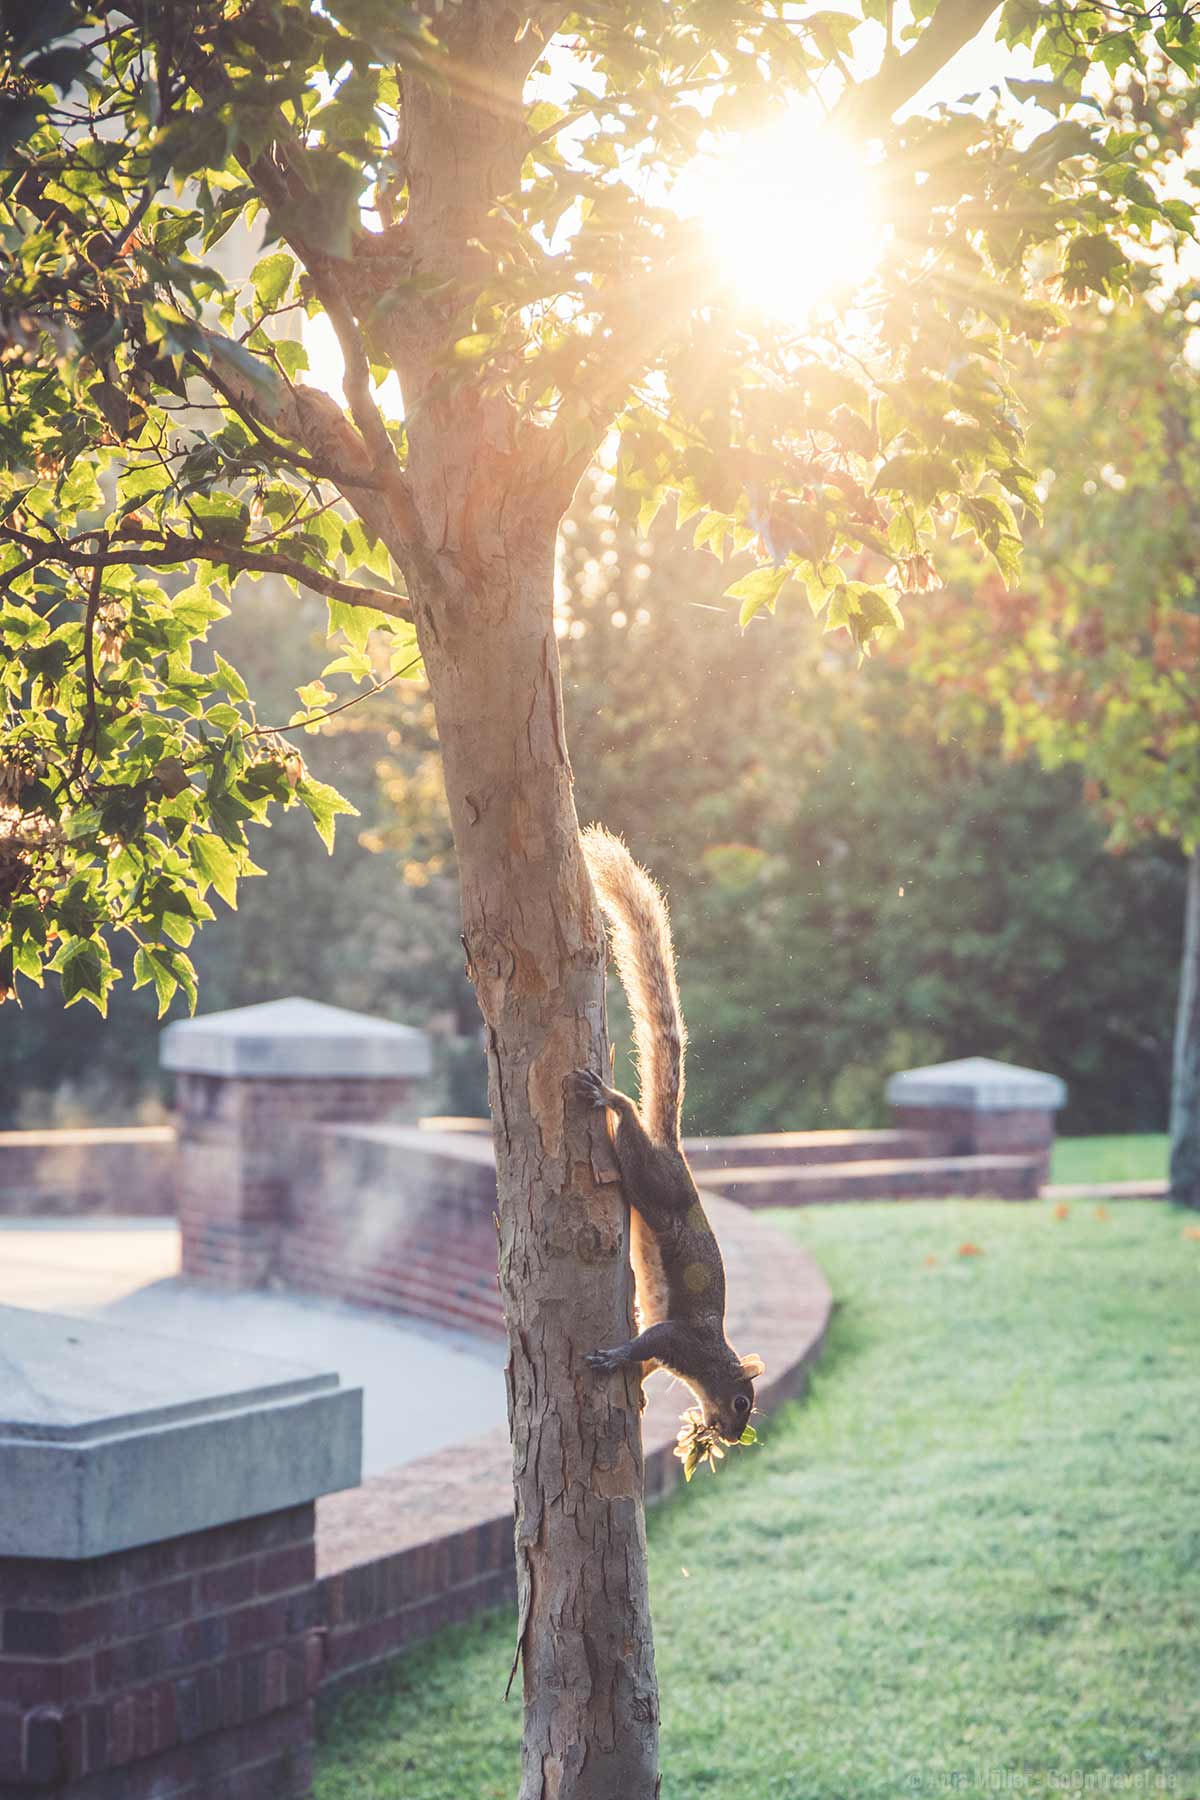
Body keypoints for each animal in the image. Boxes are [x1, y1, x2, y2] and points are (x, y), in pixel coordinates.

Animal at [572, 831, 759, 1447]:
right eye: (742, 1401)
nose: (728, 1437)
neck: (713, 1361)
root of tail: (673, 1150)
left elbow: (649, 1360)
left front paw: (641, 1385)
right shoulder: (683, 1340)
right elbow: (648, 1343)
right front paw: (615, 1358)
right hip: (652, 1182)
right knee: (630, 1130)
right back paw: (611, 1100)